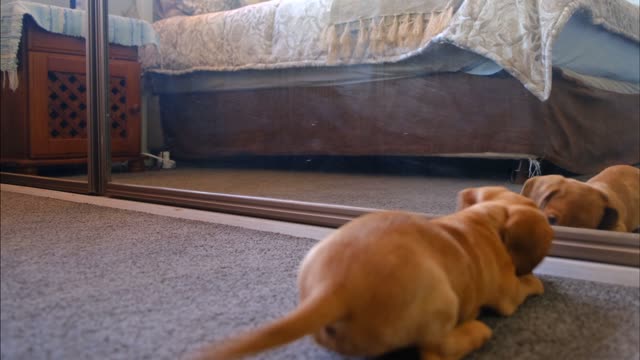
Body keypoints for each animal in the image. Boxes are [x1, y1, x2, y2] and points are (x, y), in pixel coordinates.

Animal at [191, 188, 556, 360]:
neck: (481, 220)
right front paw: (536, 281)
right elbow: (523, 286)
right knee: (436, 351)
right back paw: (477, 332)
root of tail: (335, 288)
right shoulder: (508, 294)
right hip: (443, 303)